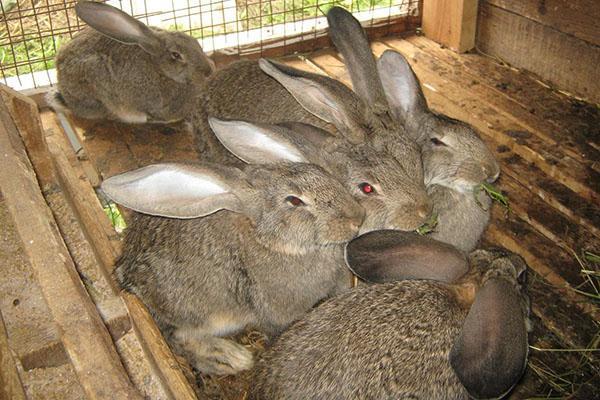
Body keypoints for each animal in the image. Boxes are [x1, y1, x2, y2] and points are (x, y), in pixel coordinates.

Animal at [102, 118, 366, 376]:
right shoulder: (279, 312)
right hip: (194, 312)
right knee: (178, 338)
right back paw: (230, 358)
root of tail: (125, 276)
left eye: (325, 174)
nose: (357, 218)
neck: (271, 240)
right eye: (294, 201)